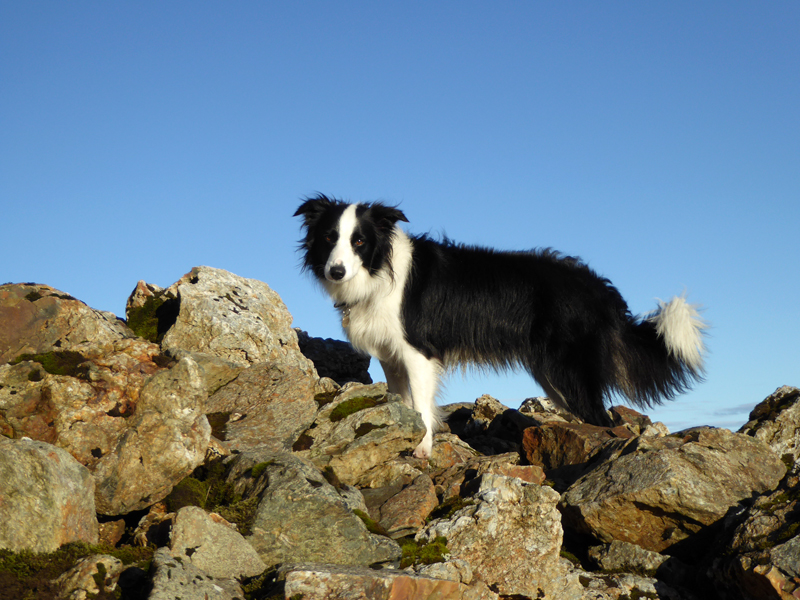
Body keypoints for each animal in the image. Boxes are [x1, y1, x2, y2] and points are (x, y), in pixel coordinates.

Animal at [296, 195, 708, 458]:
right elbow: (406, 402)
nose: (335, 271)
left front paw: (423, 448)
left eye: (359, 240)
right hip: (552, 377)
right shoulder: (390, 357)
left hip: (570, 372)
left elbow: (424, 407)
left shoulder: (419, 352)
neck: (380, 271)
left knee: (602, 419)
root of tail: (600, 289)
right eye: (330, 238)